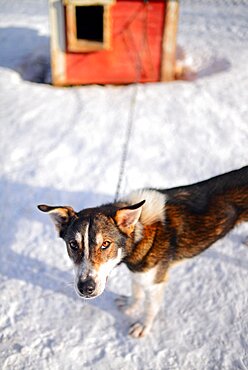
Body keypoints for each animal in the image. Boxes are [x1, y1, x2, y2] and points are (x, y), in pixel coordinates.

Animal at [37, 166, 248, 336]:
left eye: (105, 244)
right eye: (73, 244)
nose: (86, 287)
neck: (140, 231)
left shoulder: (155, 283)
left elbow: (150, 308)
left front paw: (143, 327)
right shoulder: (138, 273)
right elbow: (137, 293)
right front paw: (131, 306)